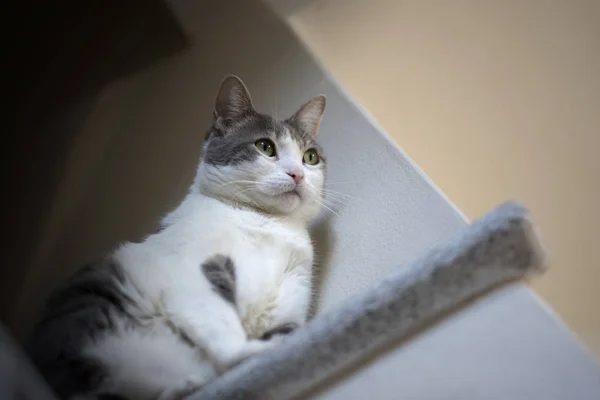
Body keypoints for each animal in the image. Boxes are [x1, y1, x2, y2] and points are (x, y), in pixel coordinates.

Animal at [24, 76, 328, 400]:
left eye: (310, 157)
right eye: (265, 146)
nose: (297, 174)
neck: (267, 224)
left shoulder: (293, 289)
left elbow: (287, 326)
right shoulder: (192, 273)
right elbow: (222, 330)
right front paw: (260, 349)